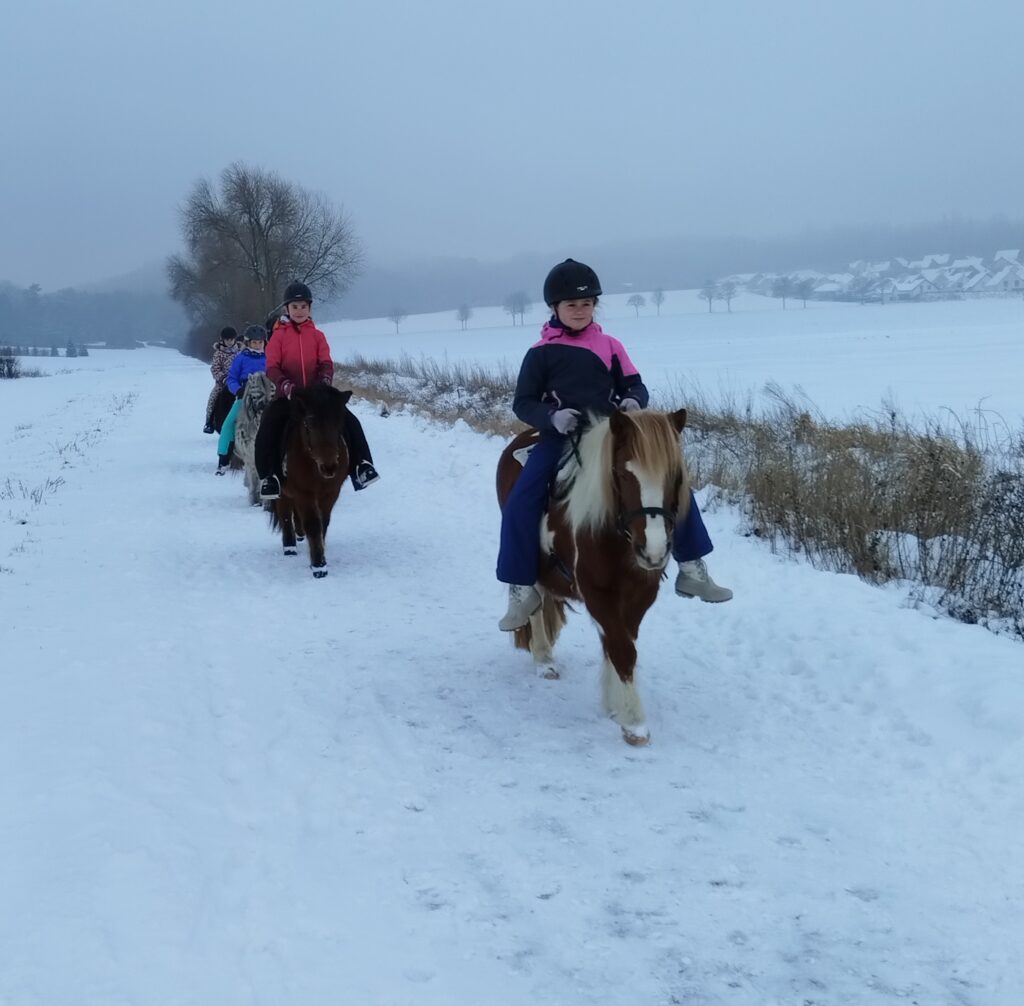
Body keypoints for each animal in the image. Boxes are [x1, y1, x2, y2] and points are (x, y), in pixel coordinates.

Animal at [269, 384, 352, 578]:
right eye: (309, 424)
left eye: (339, 424)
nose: (329, 467)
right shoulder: (303, 493)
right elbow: (313, 525)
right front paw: (319, 566)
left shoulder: (331, 493)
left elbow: (323, 522)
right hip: (282, 493)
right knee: (285, 515)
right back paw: (290, 547)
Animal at [496, 408, 689, 746]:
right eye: (623, 474)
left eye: (675, 476)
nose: (653, 550)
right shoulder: (596, 592)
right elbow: (622, 649)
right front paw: (634, 723)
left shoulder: (639, 596)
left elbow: (619, 642)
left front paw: (614, 706)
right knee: (534, 599)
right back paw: (543, 660)